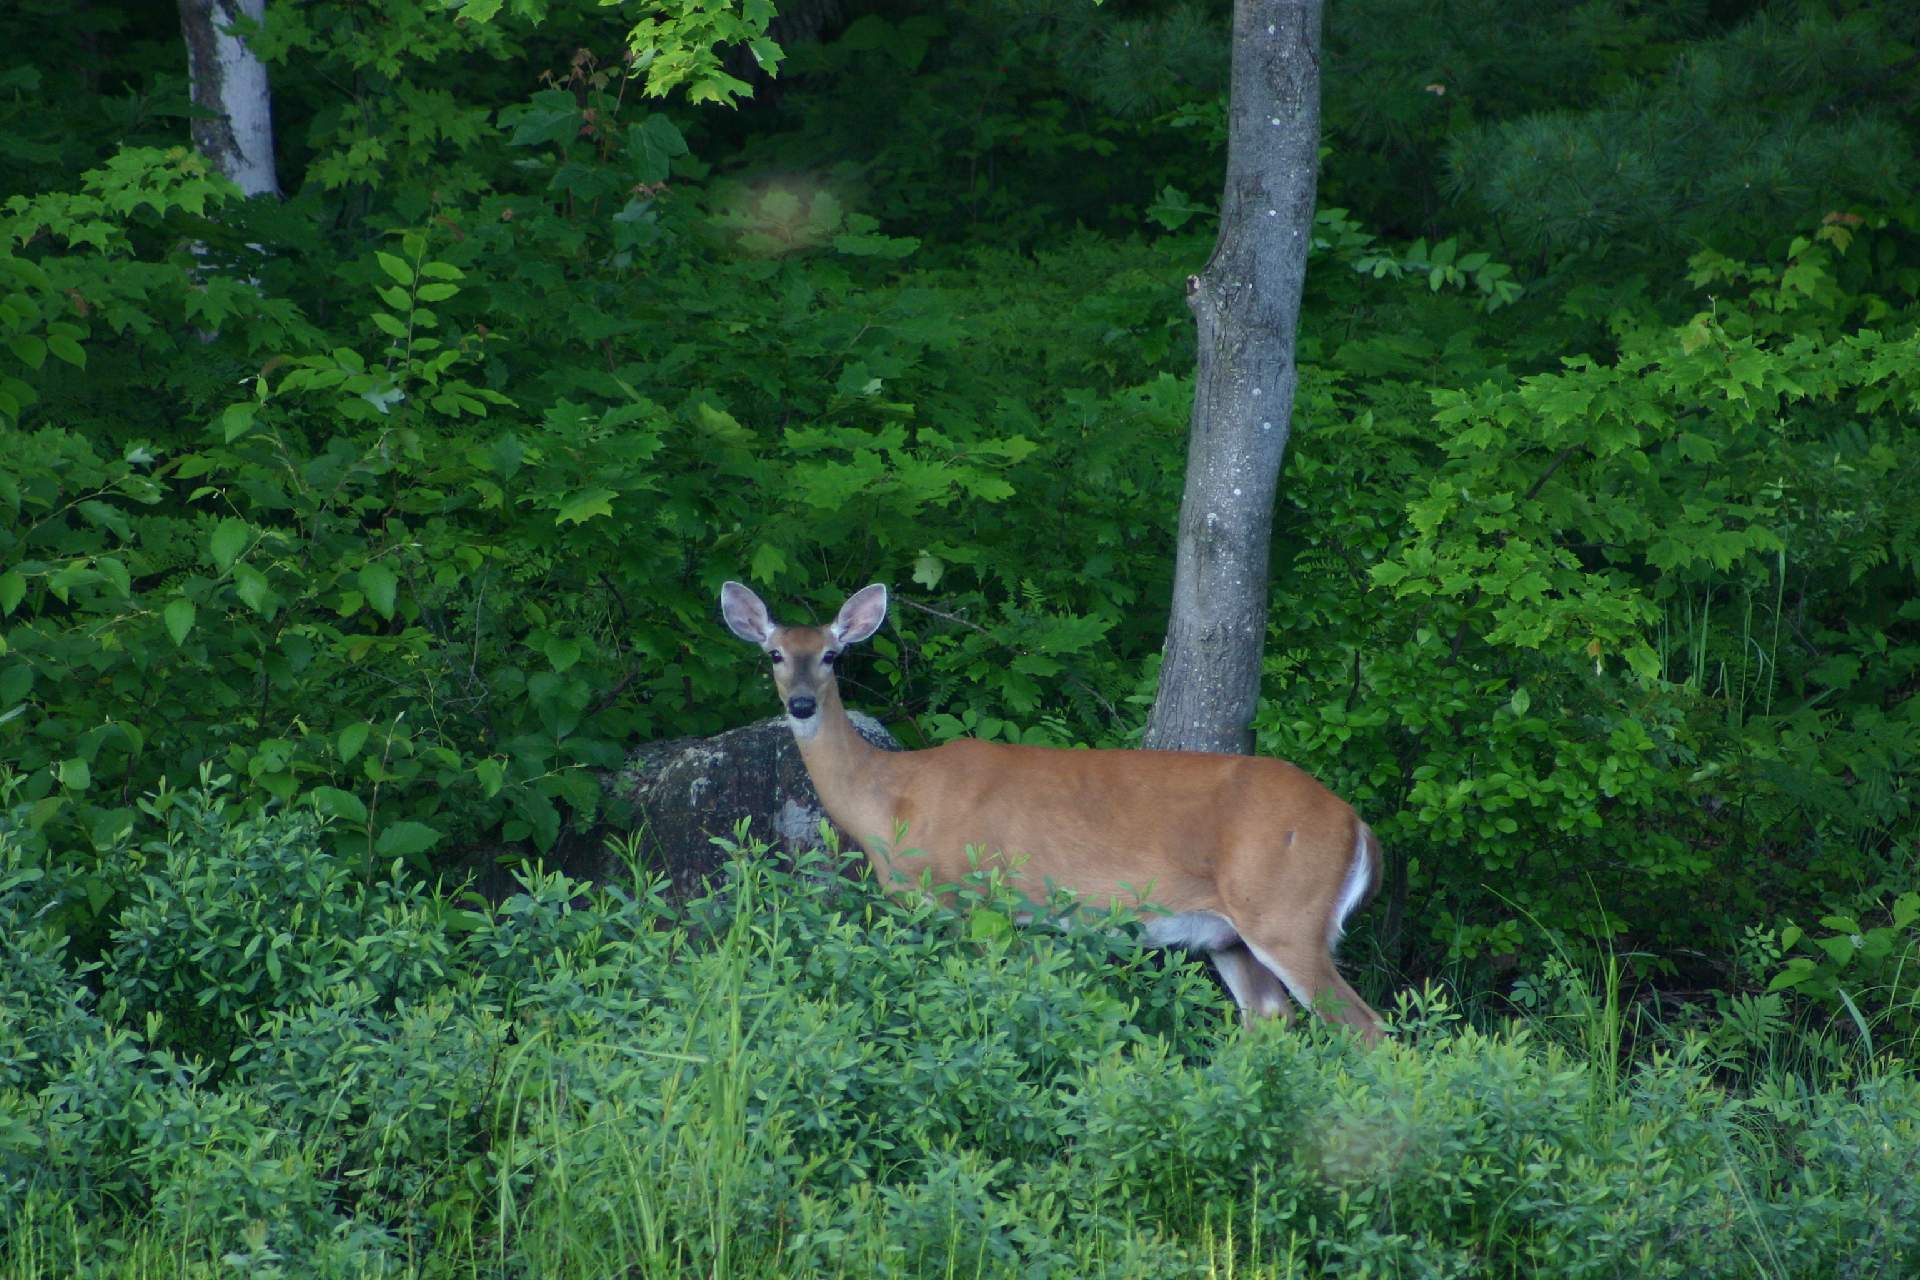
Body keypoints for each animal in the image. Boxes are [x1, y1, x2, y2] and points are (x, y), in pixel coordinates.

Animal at [720, 580, 1387, 1044]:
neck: (892, 800)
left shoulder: (972, 898)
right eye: (774, 654)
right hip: (1230, 935)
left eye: (832, 655)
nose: (801, 704)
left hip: (1288, 914)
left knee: (1368, 1028)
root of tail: (1358, 827)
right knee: (1271, 1017)